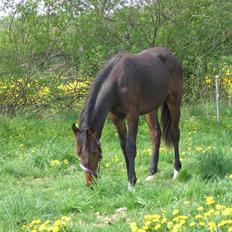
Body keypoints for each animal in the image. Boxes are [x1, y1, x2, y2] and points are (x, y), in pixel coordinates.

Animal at [72, 46, 183, 188]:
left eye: (95, 152)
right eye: (78, 153)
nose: (90, 184)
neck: (117, 83)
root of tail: (171, 55)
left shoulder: (132, 116)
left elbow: (130, 147)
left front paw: (131, 182)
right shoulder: (116, 118)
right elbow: (123, 146)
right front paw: (129, 178)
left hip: (174, 101)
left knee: (175, 132)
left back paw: (176, 171)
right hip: (151, 109)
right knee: (155, 134)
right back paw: (152, 173)